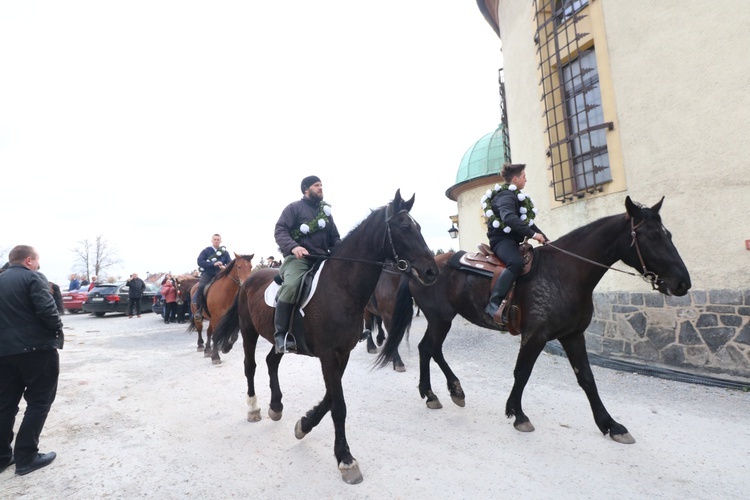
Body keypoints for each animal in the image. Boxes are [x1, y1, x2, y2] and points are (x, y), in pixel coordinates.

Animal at [212, 189, 440, 482]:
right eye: (404, 227)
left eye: (419, 228)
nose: (432, 272)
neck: (341, 286)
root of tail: (248, 281)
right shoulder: (328, 355)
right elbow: (338, 405)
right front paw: (346, 459)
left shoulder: (342, 354)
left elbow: (331, 398)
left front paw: (304, 424)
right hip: (249, 332)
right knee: (250, 366)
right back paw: (254, 408)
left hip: (278, 339)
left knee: (271, 362)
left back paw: (276, 406)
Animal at [376, 197, 692, 444]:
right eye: (652, 236)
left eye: (669, 234)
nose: (683, 283)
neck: (567, 272)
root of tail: (422, 268)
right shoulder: (535, 335)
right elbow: (522, 373)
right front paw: (518, 414)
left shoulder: (573, 335)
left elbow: (587, 378)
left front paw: (610, 424)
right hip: (441, 319)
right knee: (428, 348)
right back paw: (435, 393)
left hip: (441, 320)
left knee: (429, 349)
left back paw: (448, 391)